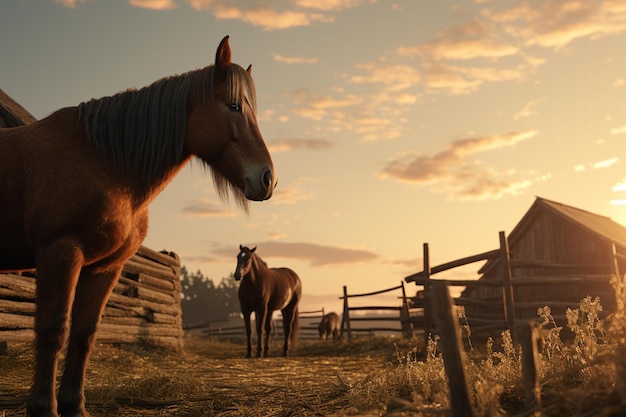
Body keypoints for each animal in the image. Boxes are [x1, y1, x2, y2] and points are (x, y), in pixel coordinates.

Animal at [0, 36, 276, 416]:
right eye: (234, 105)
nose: (268, 179)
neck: (103, 160)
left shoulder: (105, 267)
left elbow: (84, 333)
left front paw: (74, 405)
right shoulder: (60, 252)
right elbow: (54, 329)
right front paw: (43, 407)